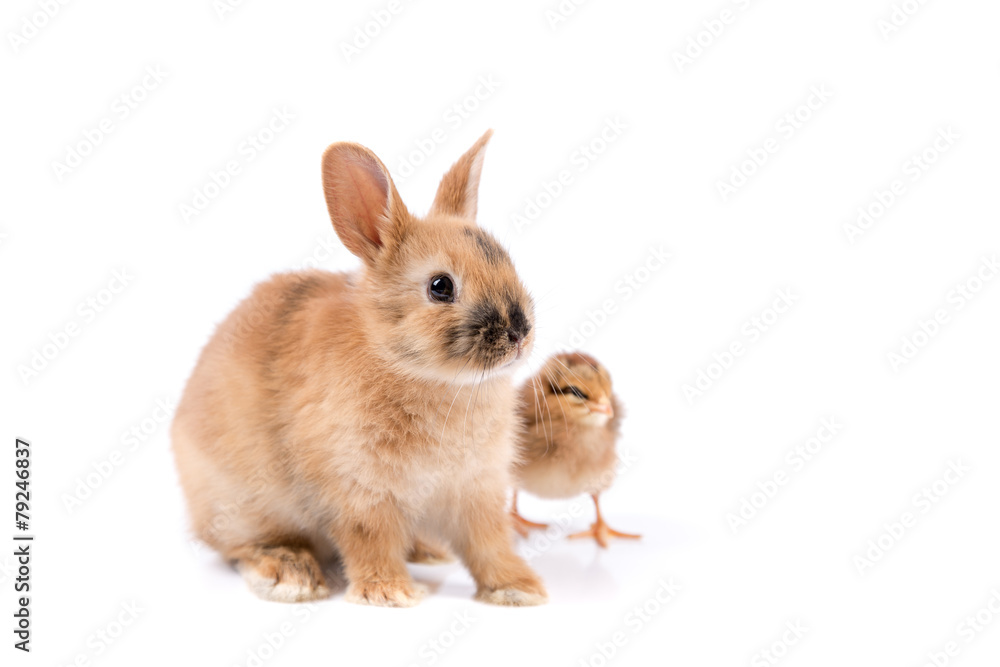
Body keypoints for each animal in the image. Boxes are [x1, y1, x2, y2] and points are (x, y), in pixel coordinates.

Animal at [171, 130, 547, 607]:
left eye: (506, 261)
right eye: (440, 286)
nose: (519, 333)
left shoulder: (476, 491)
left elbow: (488, 543)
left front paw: (519, 590)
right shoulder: (358, 490)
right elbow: (371, 539)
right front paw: (390, 594)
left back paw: (429, 551)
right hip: (242, 506)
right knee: (242, 546)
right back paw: (289, 576)